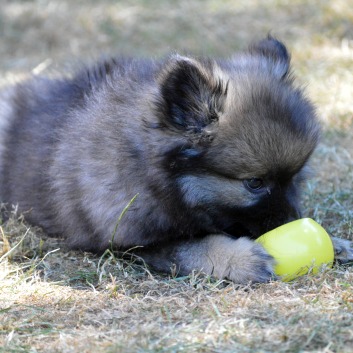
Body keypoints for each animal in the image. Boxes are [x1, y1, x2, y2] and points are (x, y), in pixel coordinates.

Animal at [0, 37, 350, 282]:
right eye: (254, 183)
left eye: (296, 176)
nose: (294, 220)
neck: (147, 170)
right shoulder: (134, 241)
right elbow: (190, 247)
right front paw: (237, 259)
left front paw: (336, 243)